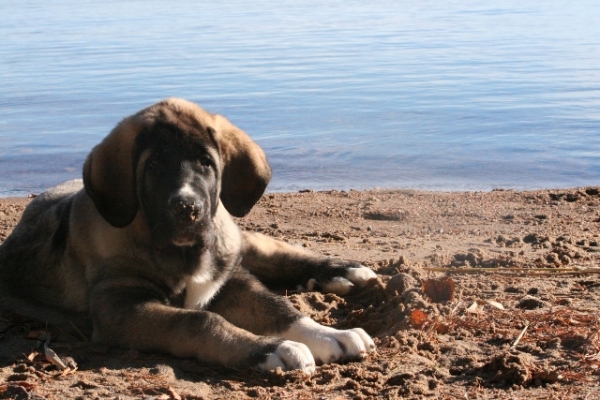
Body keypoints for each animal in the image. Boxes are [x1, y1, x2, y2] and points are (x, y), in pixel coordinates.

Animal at [0, 98, 376, 374]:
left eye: (206, 163)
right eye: (153, 166)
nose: (187, 209)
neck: (182, 253)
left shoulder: (228, 281)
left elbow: (277, 309)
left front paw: (328, 334)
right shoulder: (120, 308)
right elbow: (200, 321)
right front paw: (273, 348)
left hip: (235, 241)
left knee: (274, 253)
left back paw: (342, 271)